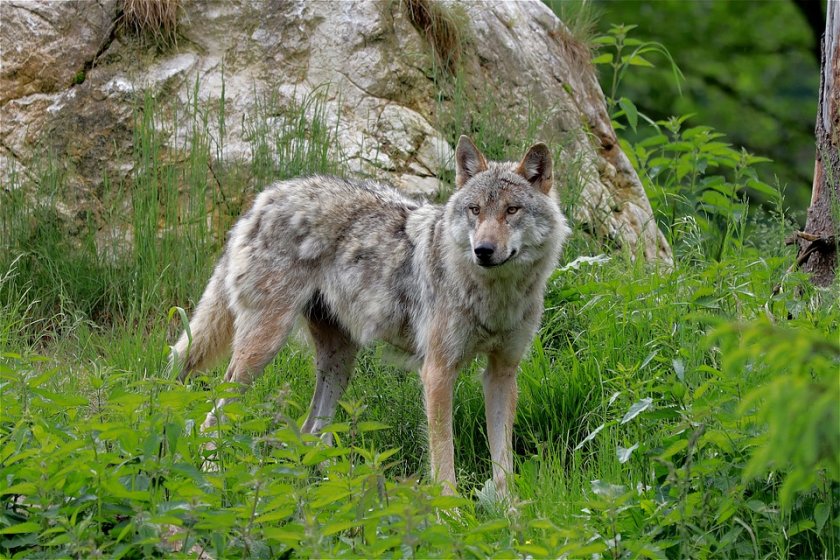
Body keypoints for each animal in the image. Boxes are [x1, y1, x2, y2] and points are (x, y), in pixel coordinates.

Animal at [174, 136, 576, 494]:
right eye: (475, 210)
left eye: (511, 210)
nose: (484, 250)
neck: (494, 296)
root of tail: (266, 197)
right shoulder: (438, 372)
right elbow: (443, 459)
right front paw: (450, 514)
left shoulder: (502, 373)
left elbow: (502, 463)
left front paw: (509, 515)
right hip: (261, 350)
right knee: (208, 423)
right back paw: (213, 481)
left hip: (339, 363)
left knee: (310, 434)